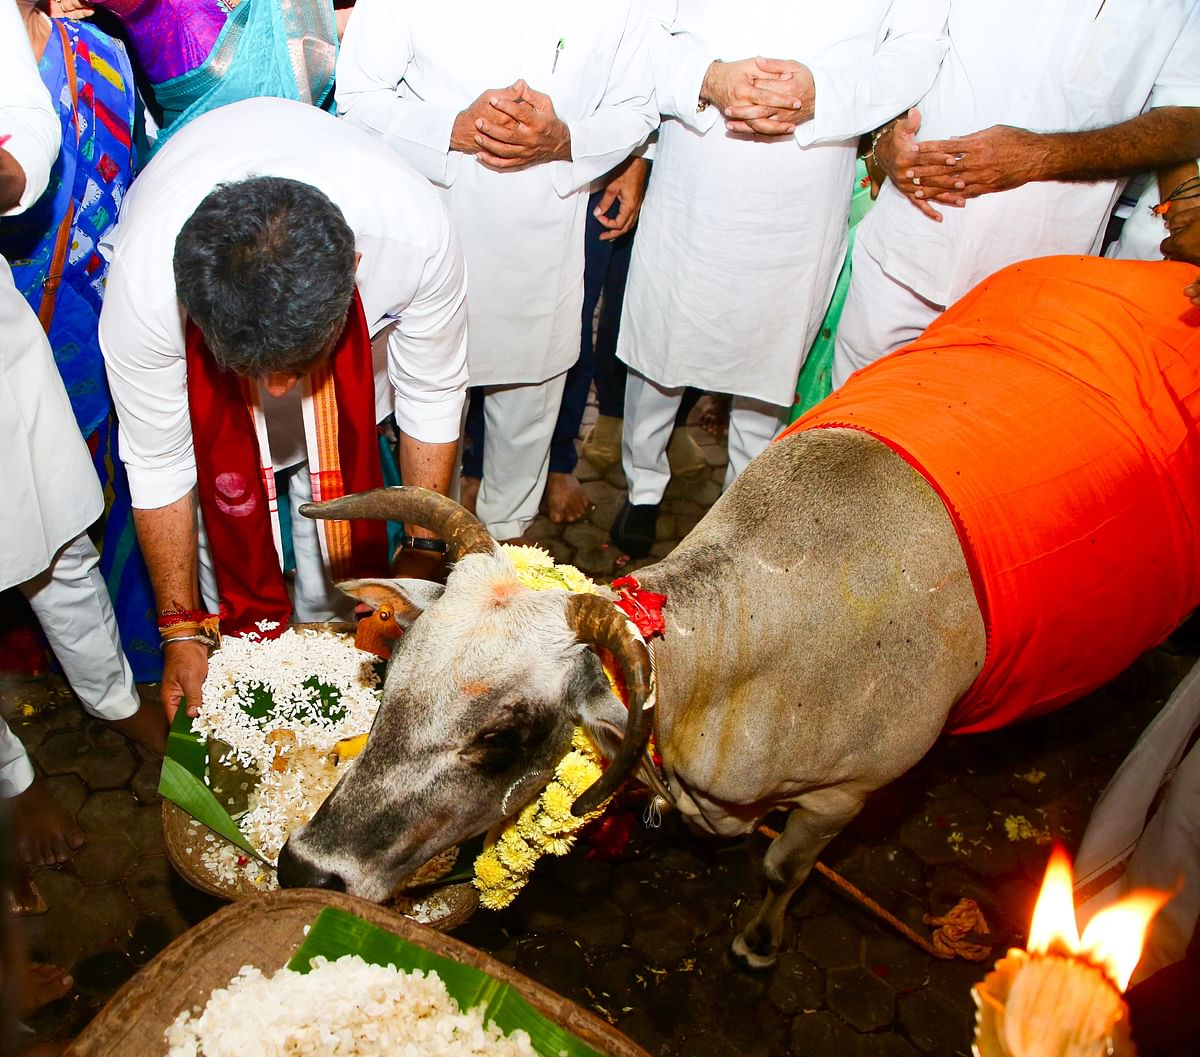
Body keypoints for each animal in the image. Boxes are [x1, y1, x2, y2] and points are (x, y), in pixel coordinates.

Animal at [276, 427, 979, 964]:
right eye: (392, 676)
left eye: (502, 737)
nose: (305, 871)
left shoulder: (843, 797)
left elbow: (784, 869)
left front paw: (757, 942)